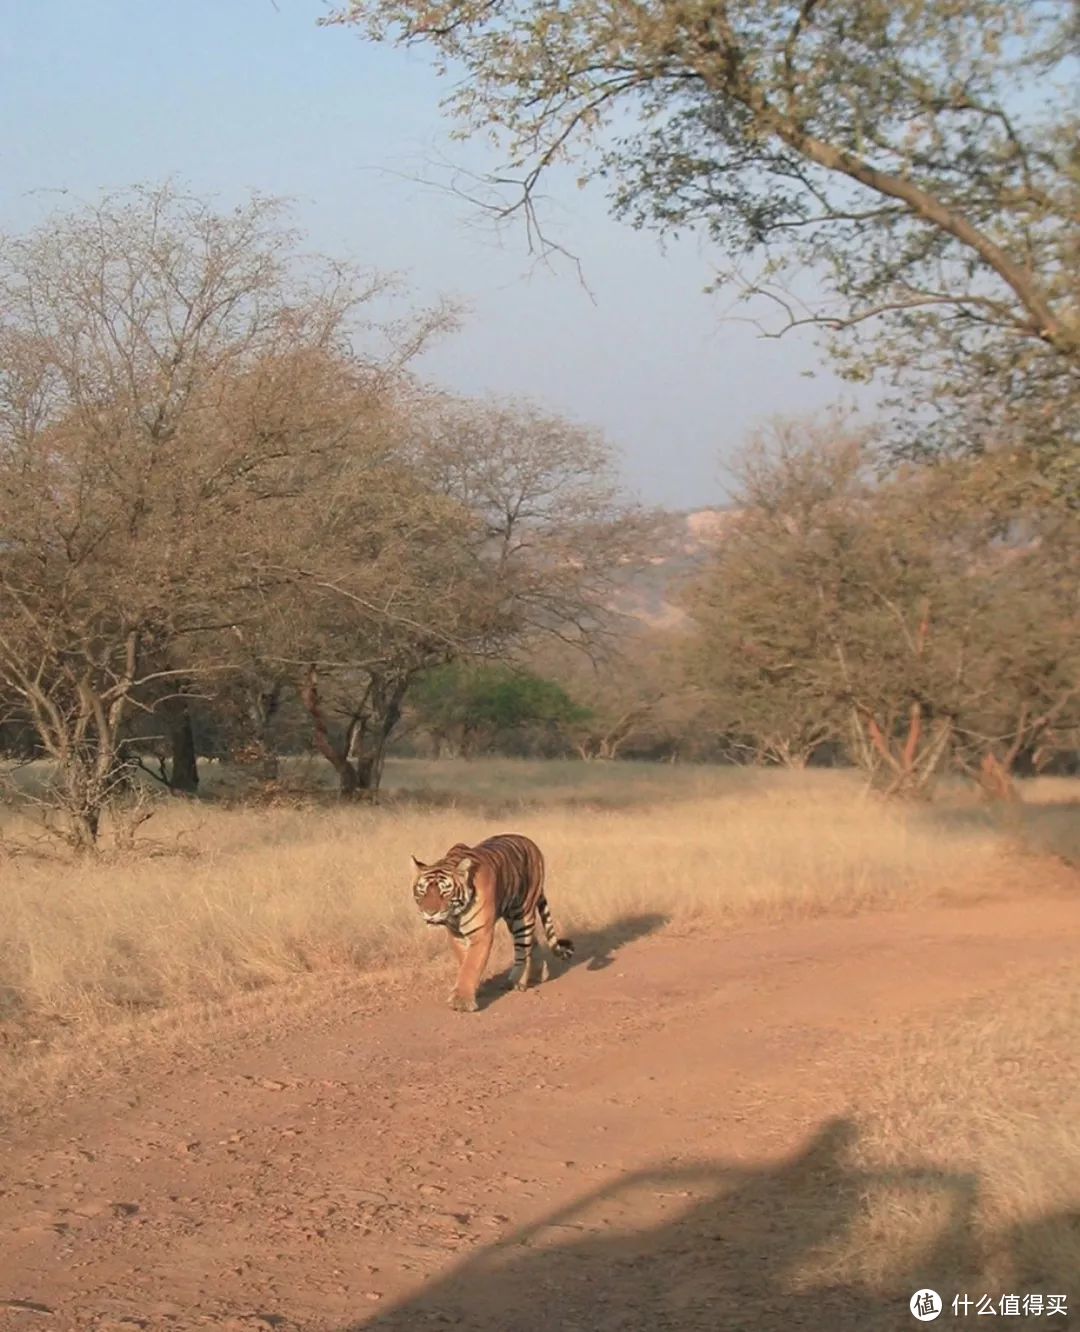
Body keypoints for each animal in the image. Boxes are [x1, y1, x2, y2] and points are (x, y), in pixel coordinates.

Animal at [410, 831, 575, 1006]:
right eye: (422, 891)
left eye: (445, 892)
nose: (430, 912)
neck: (457, 914)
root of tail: (530, 843)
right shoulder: (456, 935)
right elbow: (464, 961)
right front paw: (473, 989)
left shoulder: (481, 933)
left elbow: (471, 964)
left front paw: (461, 1001)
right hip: (513, 917)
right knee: (532, 942)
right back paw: (539, 974)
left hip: (522, 914)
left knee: (522, 950)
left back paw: (518, 981)